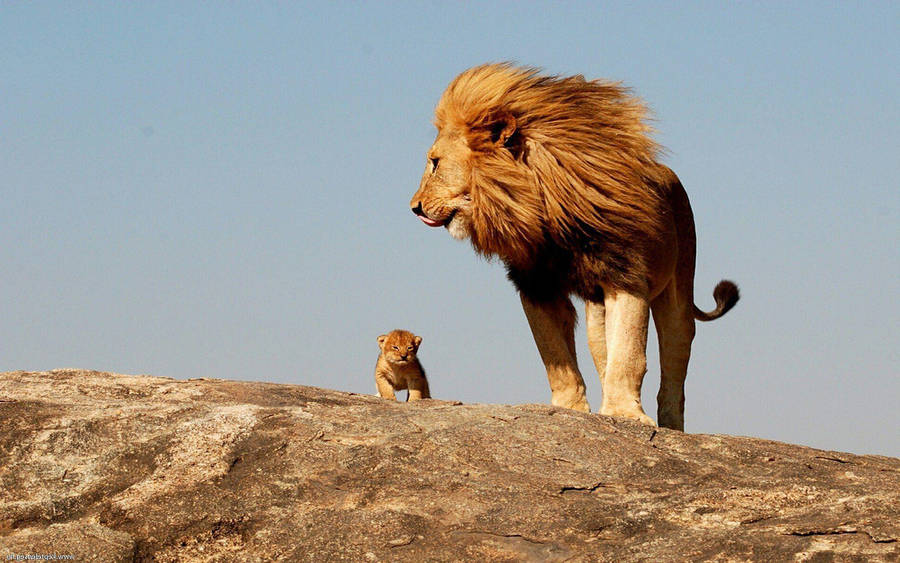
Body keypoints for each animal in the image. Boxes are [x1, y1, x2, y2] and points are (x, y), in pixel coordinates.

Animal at [410, 64, 738, 430]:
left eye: (435, 163)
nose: (415, 207)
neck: (543, 209)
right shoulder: (536, 285)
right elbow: (556, 356)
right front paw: (572, 409)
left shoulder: (626, 276)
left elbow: (629, 354)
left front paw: (625, 414)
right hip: (596, 314)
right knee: (602, 351)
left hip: (678, 291)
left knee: (675, 360)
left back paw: (670, 425)